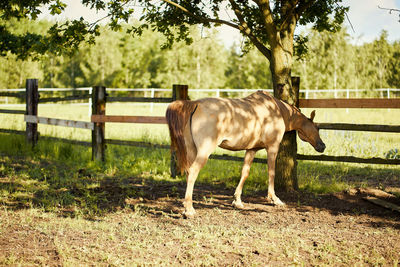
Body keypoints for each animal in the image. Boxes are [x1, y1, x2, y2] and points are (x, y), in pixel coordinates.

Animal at [166, 91, 324, 219]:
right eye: (317, 127)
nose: (322, 146)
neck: (277, 109)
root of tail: (195, 104)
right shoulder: (272, 147)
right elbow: (271, 172)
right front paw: (274, 199)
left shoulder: (251, 149)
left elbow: (245, 173)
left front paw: (237, 201)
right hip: (204, 151)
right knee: (193, 172)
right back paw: (189, 210)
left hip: (192, 150)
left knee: (188, 173)